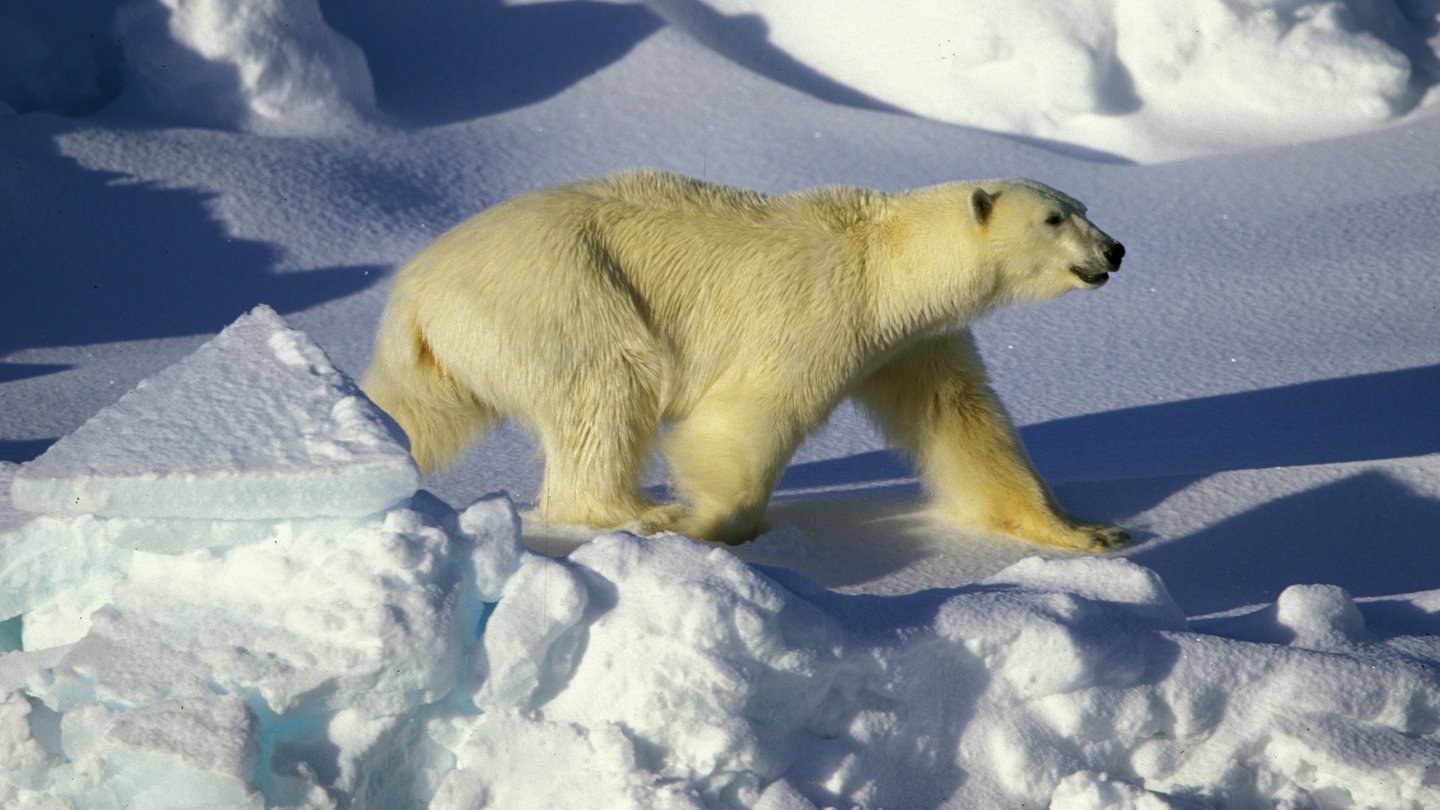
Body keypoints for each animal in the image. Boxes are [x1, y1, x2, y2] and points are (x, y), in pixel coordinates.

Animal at [360, 169, 1123, 547]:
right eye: (1054, 218)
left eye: (1083, 204)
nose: (1115, 249)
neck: (885, 264)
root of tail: (413, 291)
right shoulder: (820, 310)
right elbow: (749, 417)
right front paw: (708, 524)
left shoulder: (913, 343)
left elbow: (962, 421)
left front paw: (1088, 531)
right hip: (560, 292)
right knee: (608, 386)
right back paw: (637, 512)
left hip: (446, 356)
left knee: (416, 413)